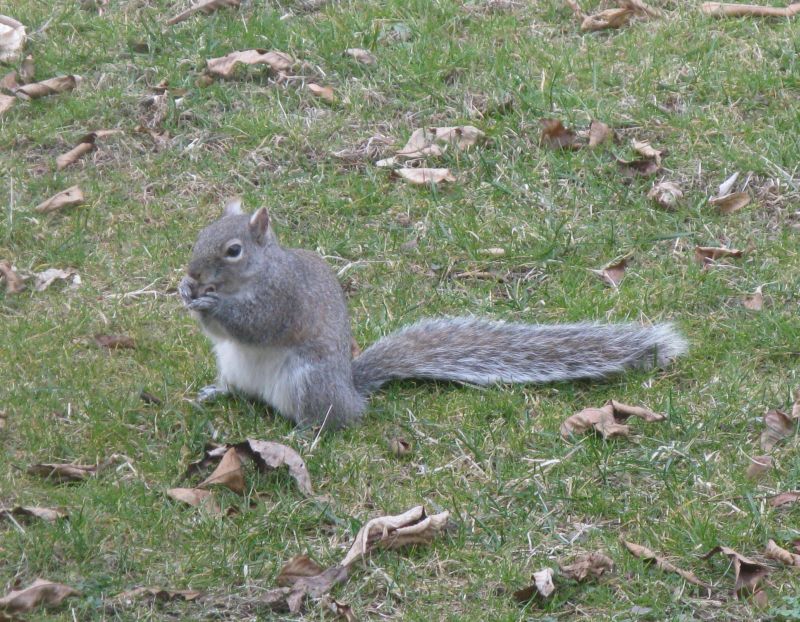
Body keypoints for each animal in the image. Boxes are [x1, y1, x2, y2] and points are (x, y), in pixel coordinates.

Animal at [179, 199, 688, 430]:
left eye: (233, 250)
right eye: (200, 234)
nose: (192, 273)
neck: (256, 275)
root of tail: (351, 392)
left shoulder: (283, 300)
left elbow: (256, 323)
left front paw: (210, 303)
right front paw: (187, 293)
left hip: (309, 381)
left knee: (331, 420)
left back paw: (307, 433)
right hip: (234, 367)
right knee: (236, 388)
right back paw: (215, 394)